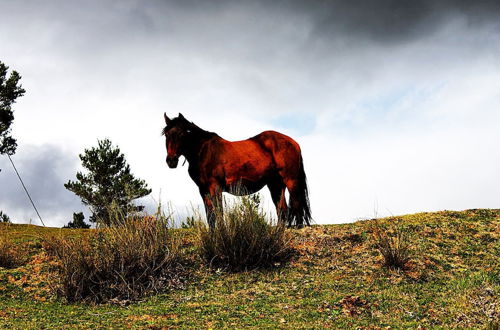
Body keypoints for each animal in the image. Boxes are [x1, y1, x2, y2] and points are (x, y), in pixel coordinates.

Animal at [162, 113, 310, 227]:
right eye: (166, 134)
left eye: (182, 134)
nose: (171, 160)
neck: (203, 151)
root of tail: (294, 142)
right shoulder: (203, 190)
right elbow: (210, 216)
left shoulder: (215, 188)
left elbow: (219, 213)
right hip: (276, 184)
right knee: (282, 210)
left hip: (291, 180)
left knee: (297, 206)